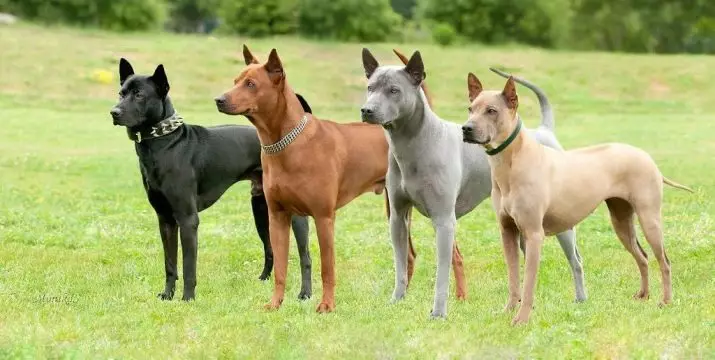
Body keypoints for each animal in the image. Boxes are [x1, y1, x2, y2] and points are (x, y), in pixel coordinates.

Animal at [110, 58, 312, 300]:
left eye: (139, 94)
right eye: (121, 93)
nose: (114, 112)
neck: (164, 143)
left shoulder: (188, 219)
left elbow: (188, 266)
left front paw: (187, 298)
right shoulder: (165, 219)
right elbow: (170, 264)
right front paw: (168, 295)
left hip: (294, 216)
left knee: (305, 255)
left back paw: (305, 293)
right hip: (261, 210)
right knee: (271, 249)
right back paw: (264, 281)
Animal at [364, 49, 588, 320]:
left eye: (394, 90)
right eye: (370, 87)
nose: (366, 110)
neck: (415, 143)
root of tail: (544, 131)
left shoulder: (444, 221)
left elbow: (442, 272)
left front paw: (438, 313)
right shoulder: (397, 217)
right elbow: (400, 264)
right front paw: (397, 300)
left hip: (560, 223)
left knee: (576, 260)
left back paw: (580, 299)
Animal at [462, 71, 696, 324]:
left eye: (492, 111)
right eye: (470, 109)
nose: (466, 128)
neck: (512, 162)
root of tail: (647, 158)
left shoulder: (534, 235)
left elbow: (529, 284)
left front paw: (521, 319)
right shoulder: (507, 232)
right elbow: (514, 279)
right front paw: (507, 311)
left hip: (649, 219)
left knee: (664, 261)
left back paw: (666, 301)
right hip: (621, 220)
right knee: (642, 256)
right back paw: (643, 295)